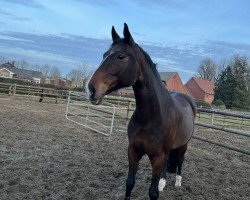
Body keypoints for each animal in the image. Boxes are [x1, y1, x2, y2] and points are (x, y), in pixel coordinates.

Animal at [87, 23, 196, 200]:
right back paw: (163, 183)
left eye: (121, 56)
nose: (90, 89)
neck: (150, 116)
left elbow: (152, 192)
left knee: (180, 161)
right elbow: (129, 183)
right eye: (104, 55)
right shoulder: (133, 151)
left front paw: (159, 187)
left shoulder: (157, 157)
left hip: (183, 144)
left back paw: (178, 182)